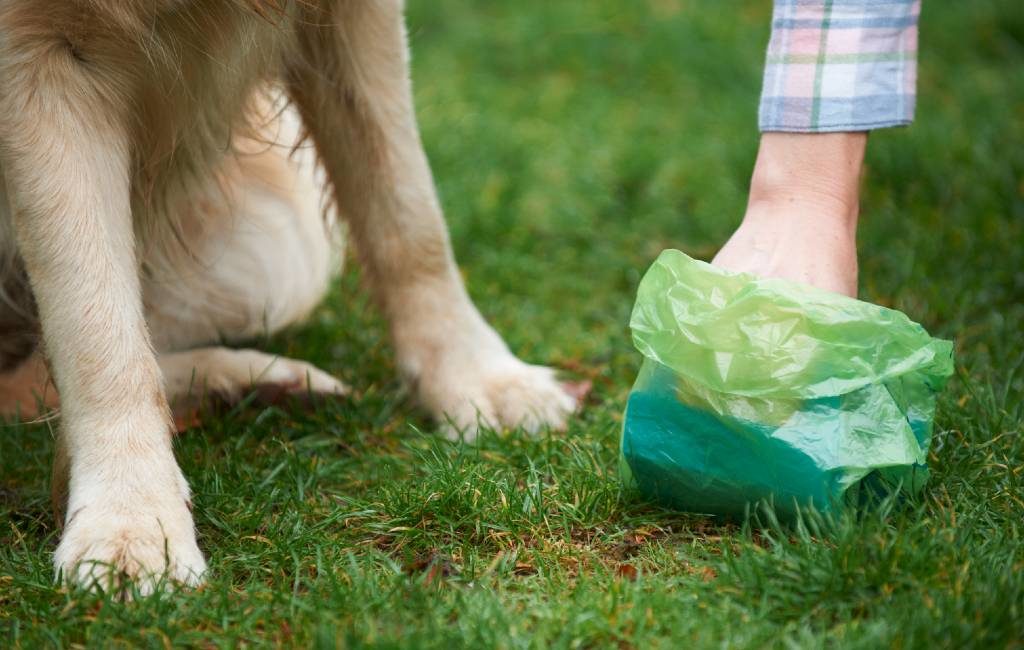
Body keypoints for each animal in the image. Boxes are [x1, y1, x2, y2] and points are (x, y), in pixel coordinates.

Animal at [0, 0, 577, 593]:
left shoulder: (352, 21)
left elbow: (407, 211)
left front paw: (477, 377)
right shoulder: (34, 55)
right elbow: (96, 329)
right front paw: (130, 520)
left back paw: (260, 384)